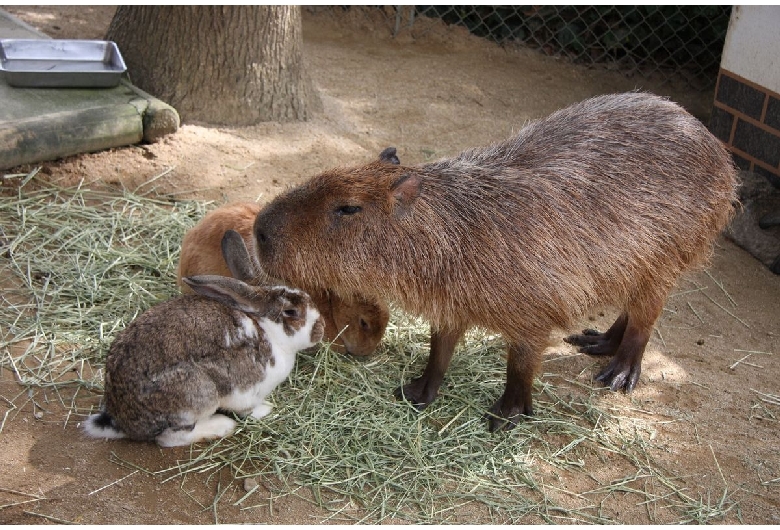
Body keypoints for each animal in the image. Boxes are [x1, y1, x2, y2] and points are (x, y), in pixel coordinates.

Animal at [84, 272, 326, 446]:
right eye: (291, 312)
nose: (321, 329)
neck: (267, 329)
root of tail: (123, 422)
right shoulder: (247, 390)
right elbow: (248, 409)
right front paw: (266, 410)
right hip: (197, 394)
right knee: (171, 438)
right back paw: (221, 426)